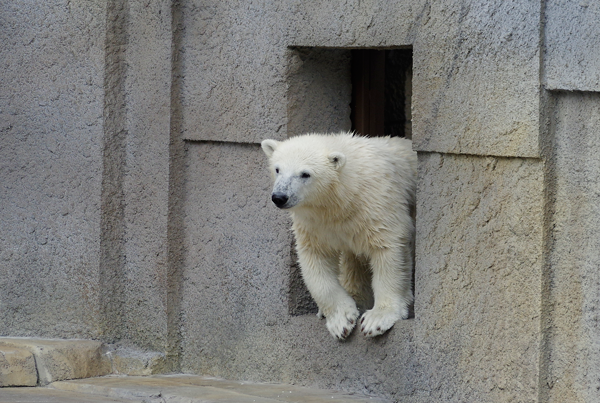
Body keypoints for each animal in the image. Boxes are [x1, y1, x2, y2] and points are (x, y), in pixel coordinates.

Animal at [262, 133, 418, 340]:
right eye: (277, 169)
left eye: (305, 174)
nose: (279, 197)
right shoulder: (315, 225)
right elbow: (315, 260)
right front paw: (341, 320)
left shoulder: (378, 207)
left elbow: (388, 251)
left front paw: (376, 320)